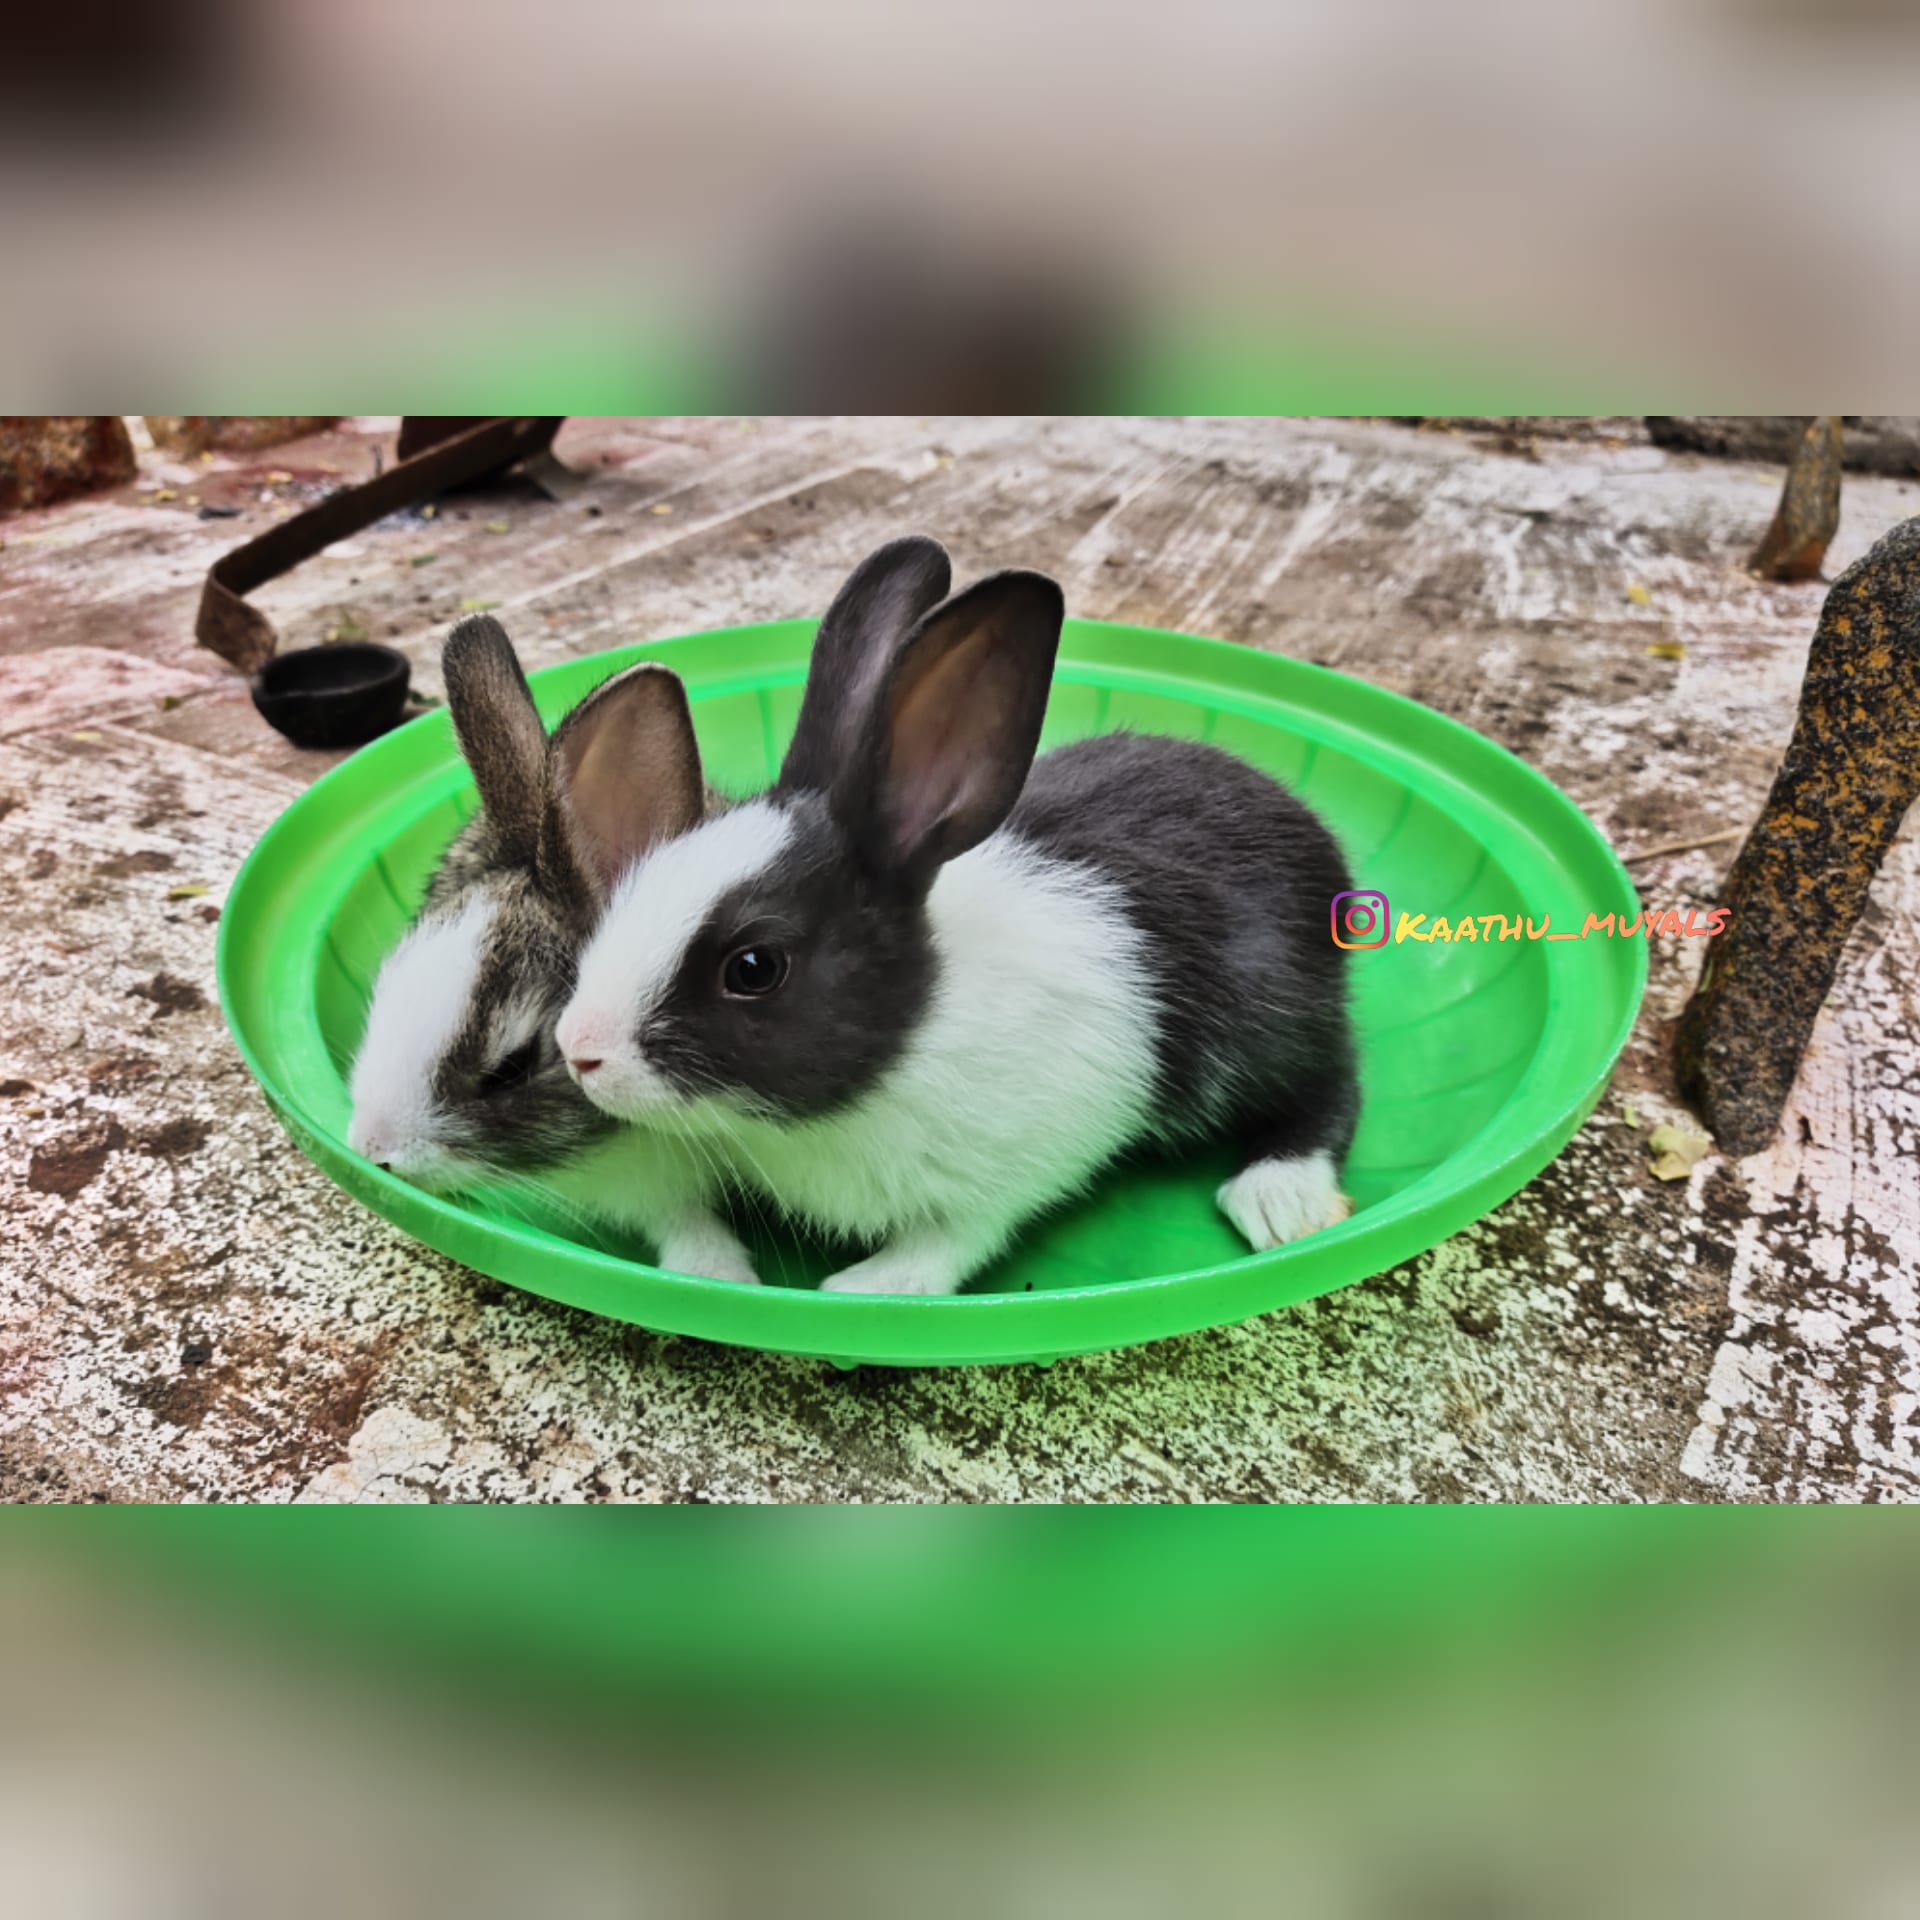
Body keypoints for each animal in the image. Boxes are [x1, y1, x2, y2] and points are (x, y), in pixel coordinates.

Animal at [553, 535, 1359, 1296]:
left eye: (754, 968)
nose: (579, 1049)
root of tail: (1311, 835)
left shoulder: (1009, 1176)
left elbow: (949, 1242)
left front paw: (865, 1287)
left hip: (1272, 1022)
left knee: (1332, 1081)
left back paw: (1280, 1197)